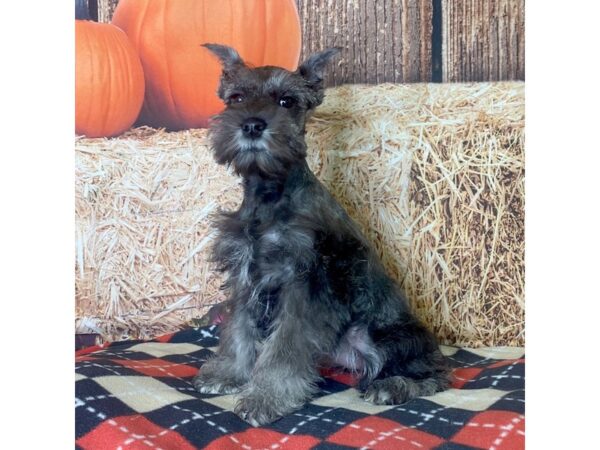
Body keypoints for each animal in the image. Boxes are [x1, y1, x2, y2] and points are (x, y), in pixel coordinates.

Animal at [193, 44, 450, 428]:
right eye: (236, 98)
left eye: (287, 101)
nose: (252, 125)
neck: (270, 194)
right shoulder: (245, 276)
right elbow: (239, 330)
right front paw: (228, 374)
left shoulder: (305, 285)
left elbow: (283, 348)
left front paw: (265, 398)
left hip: (380, 335)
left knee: (432, 373)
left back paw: (392, 386)